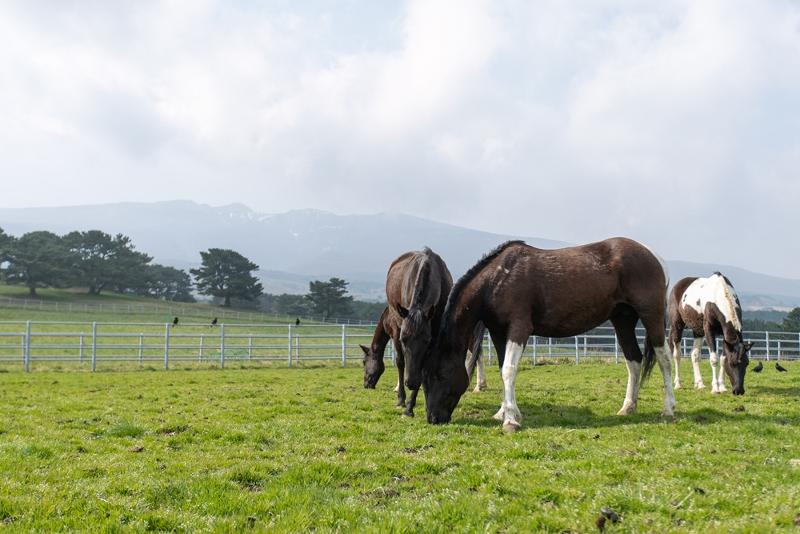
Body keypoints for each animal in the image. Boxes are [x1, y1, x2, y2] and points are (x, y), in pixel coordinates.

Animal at [360, 248, 452, 416]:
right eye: (404, 339)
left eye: (364, 362)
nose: (366, 384)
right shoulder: (397, 331)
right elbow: (401, 362)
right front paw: (405, 403)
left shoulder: (434, 333)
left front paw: (412, 406)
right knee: (401, 363)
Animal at [420, 238, 676, 432]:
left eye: (438, 374)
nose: (433, 418)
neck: (498, 279)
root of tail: (654, 257)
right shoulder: (499, 333)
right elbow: (503, 369)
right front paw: (504, 412)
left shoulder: (519, 328)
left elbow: (509, 370)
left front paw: (510, 420)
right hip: (622, 320)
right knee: (634, 361)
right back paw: (628, 407)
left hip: (651, 317)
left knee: (664, 360)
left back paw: (669, 409)